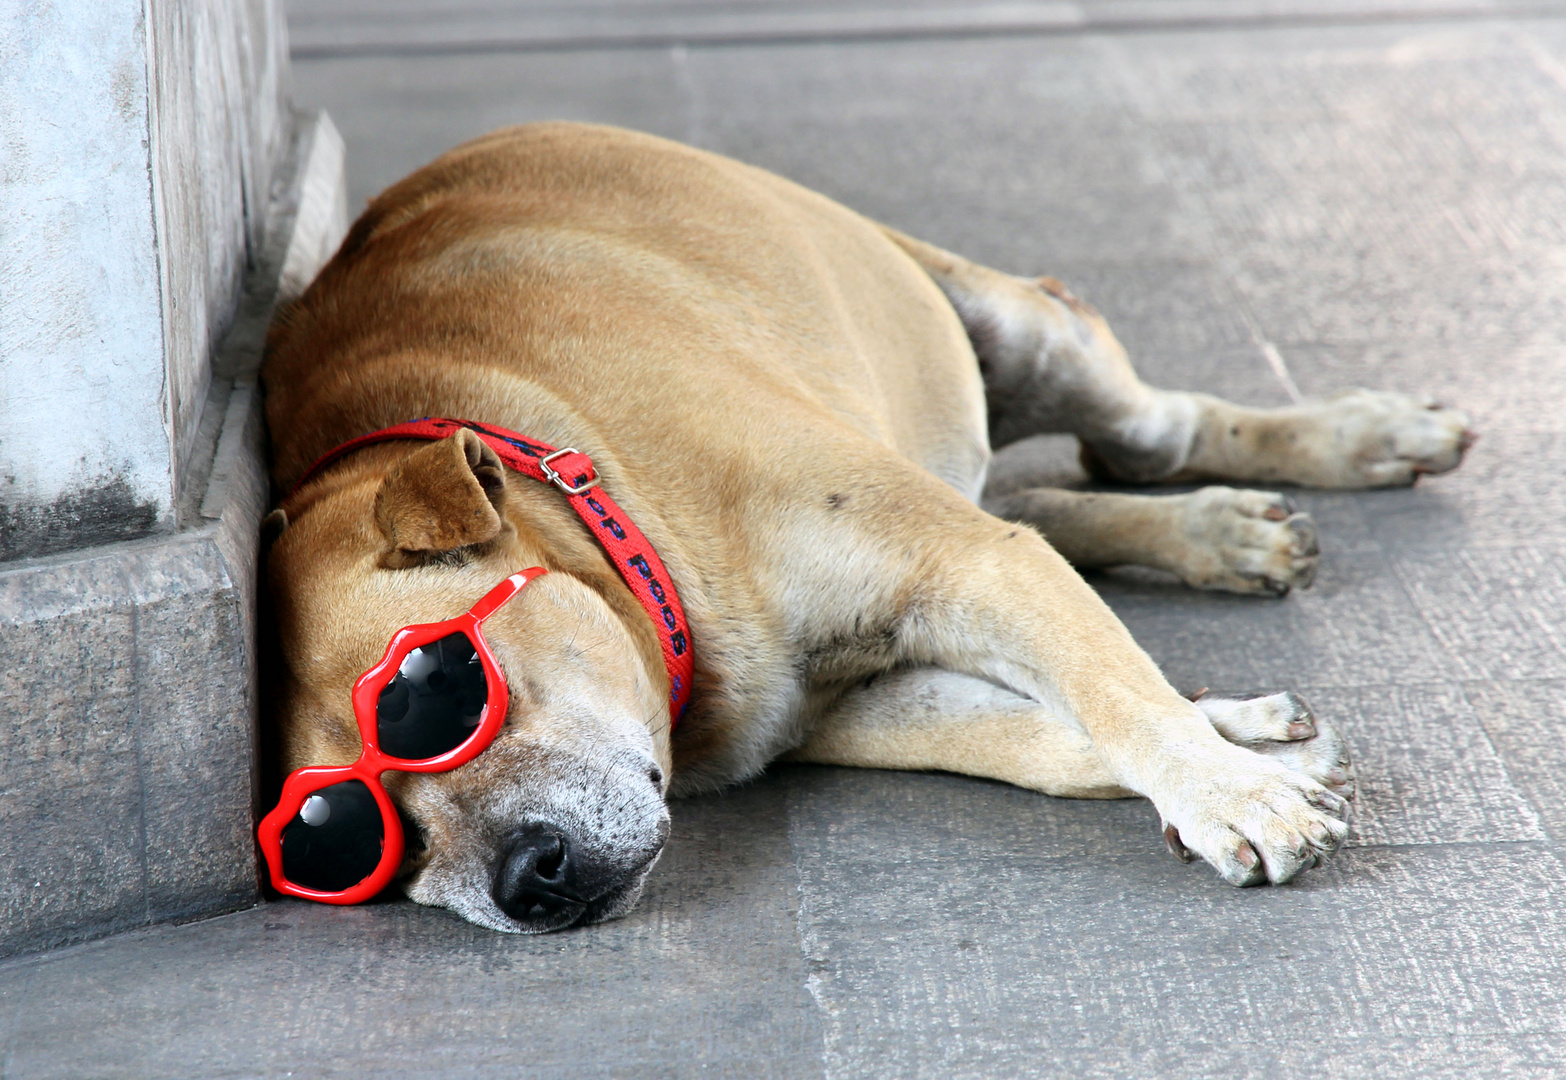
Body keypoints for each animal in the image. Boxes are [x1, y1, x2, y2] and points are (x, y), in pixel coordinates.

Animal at [263, 115, 1472, 926]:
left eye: (433, 691)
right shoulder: (851, 705)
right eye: (350, 846)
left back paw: (1358, 439)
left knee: (1150, 436)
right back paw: (1215, 536)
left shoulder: (966, 565)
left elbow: (1116, 695)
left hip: (1034, 335)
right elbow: (1040, 732)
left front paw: (1227, 788)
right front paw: (1243, 743)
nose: (526, 883)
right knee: (1045, 494)